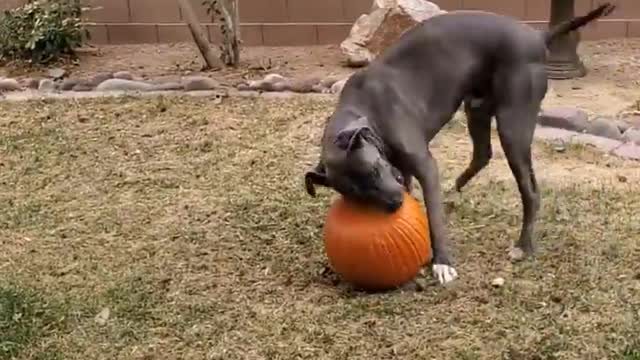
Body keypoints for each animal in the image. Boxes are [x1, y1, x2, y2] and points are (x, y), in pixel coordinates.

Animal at [304, 2, 616, 284]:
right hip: (476, 109)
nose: (395, 205)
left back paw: (523, 247)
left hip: (512, 126)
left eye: (373, 170)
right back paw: (456, 189)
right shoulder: (401, 169)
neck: (365, 109)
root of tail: (538, 37)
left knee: (530, 190)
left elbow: (434, 217)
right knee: (483, 154)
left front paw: (442, 262)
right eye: (355, 196)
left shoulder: (425, 167)